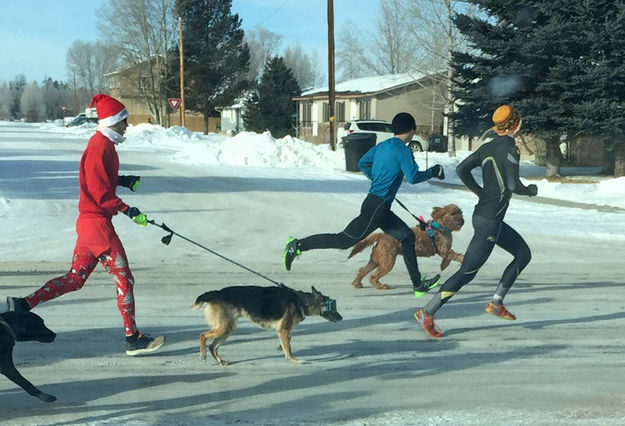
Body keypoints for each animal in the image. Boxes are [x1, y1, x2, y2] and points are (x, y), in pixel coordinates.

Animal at [194, 284, 344, 364]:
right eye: (333, 307)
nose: (341, 318)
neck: (302, 301)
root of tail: (217, 293)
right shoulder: (283, 330)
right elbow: (289, 348)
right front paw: (294, 360)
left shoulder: (283, 331)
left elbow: (288, 340)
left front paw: (280, 347)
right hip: (225, 328)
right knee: (202, 336)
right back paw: (203, 355)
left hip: (227, 329)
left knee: (213, 346)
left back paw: (220, 361)